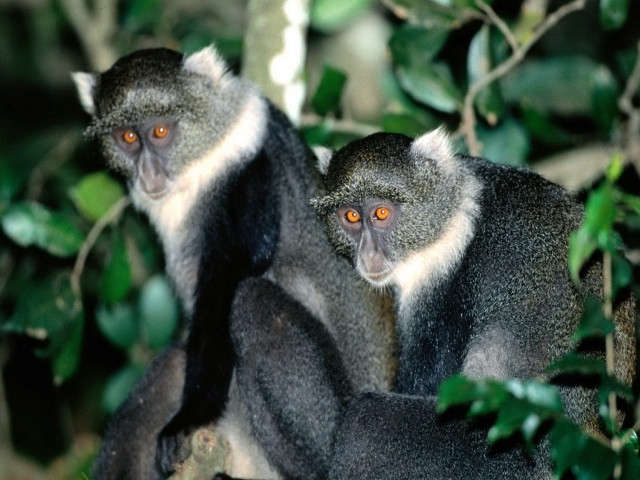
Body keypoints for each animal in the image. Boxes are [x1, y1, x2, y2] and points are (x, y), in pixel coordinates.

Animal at [73, 46, 395, 479]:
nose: (148, 174)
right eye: (127, 137)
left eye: (160, 132)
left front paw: (188, 420)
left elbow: (228, 283)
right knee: (171, 366)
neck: (202, 160)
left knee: (252, 302)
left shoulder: (249, 172)